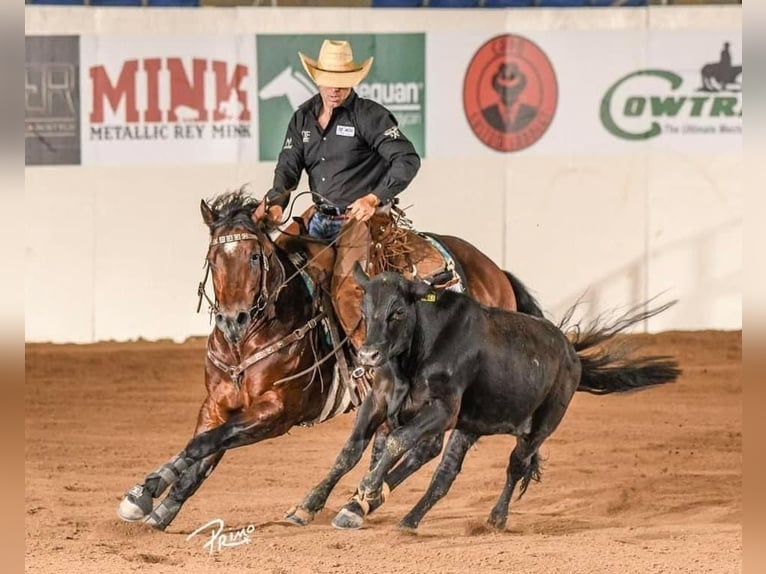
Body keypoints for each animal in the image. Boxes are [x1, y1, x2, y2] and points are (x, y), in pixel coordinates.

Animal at [115, 190, 544, 532]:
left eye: (255, 256)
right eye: (213, 256)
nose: (232, 320)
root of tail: (494, 273)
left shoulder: (276, 412)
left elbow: (205, 444)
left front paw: (145, 493)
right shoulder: (219, 404)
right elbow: (203, 450)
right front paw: (159, 505)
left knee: (433, 448)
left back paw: (348, 503)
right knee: (398, 443)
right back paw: (346, 502)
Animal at [292, 268, 680, 532]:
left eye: (398, 311)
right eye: (364, 308)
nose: (369, 355)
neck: (417, 353)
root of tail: (571, 353)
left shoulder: (444, 410)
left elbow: (395, 442)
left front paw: (367, 489)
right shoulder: (379, 401)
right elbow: (351, 450)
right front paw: (310, 505)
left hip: (537, 427)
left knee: (513, 466)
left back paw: (494, 518)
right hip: (472, 424)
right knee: (443, 471)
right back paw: (404, 518)